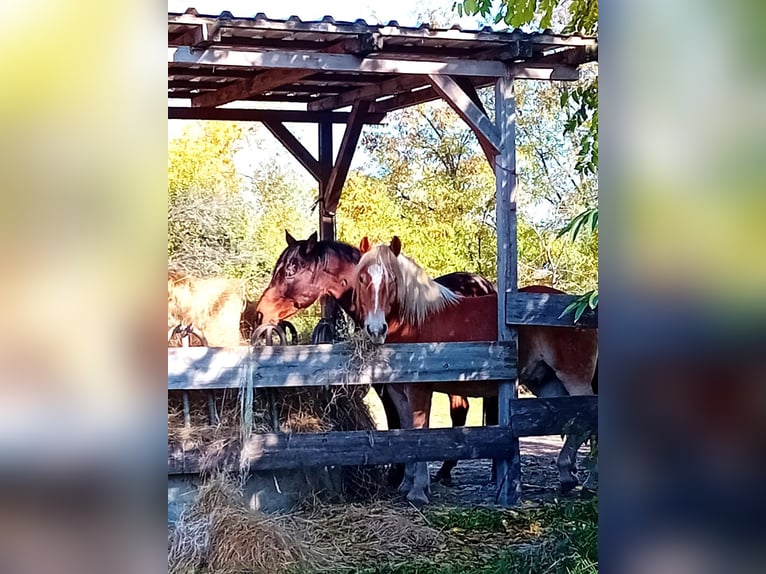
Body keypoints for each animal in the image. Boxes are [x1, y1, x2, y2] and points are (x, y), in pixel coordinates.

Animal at [354, 236, 600, 506]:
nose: (376, 329)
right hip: (545, 382)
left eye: (392, 280)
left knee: (589, 419)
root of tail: (580, 307)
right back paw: (567, 475)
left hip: (574, 378)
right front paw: (407, 484)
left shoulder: (420, 389)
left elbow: (419, 431)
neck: (416, 321)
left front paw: (418, 490)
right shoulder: (398, 391)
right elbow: (406, 430)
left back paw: (588, 482)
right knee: (570, 419)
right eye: (362, 278)